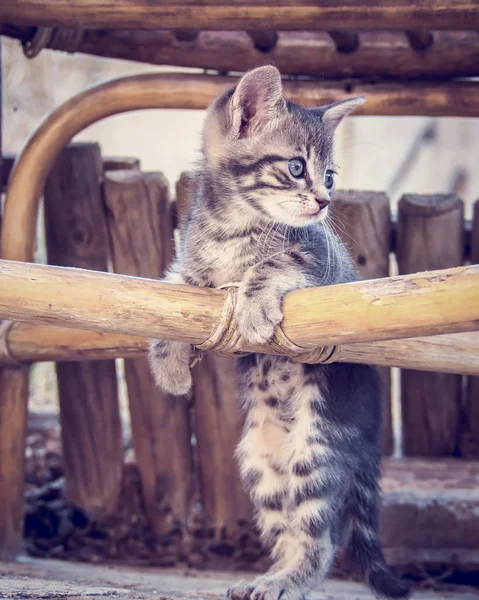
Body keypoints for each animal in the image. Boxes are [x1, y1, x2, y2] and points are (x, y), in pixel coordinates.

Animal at [149, 65, 408, 600]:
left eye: (329, 176)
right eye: (295, 167)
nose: (325, 200)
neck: (232, 226)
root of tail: (371, 435)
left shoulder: (320, 265)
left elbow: (274, 263)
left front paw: (253, 306)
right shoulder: (194, 269)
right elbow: (174, 291)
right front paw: (169, 366)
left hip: (317, 448)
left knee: (320, 542)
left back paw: (290, 580)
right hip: (261, 462)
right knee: (289, 530)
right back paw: (270, 577)